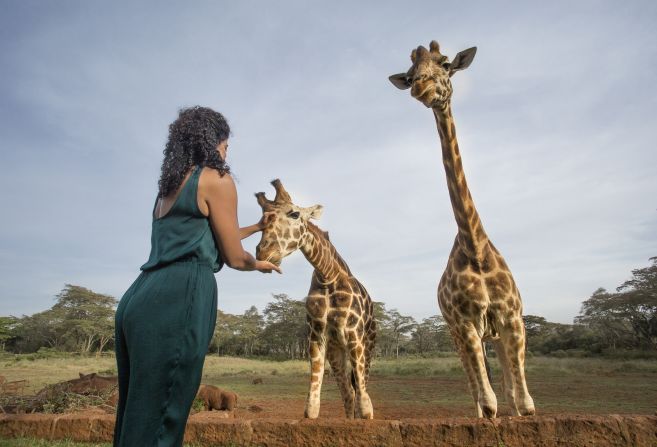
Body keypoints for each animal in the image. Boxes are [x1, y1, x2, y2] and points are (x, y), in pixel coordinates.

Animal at [255, 178, 376, 420]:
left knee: (359, 388)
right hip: (336, 351)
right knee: (348, 393)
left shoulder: (354, 335)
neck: (327, 275)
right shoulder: (317, 335)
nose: (263, 253)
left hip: (367, 346)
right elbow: (312, 408)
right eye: (262, 217)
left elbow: (366, 406)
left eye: (294, 214)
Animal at [386, 40, 536, 418]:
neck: (475, 249)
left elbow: (523, 404)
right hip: (458, 334)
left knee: (507, 389)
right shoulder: (465, 324)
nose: (421, 87)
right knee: (478, 392)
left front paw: (520, 412)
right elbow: (488, 404)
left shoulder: (512, 318)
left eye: (444, 63)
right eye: (409, 73)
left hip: (492, 335)